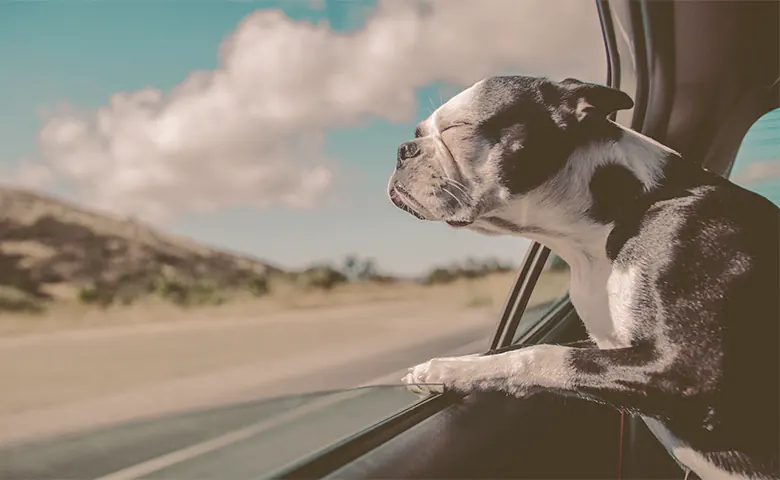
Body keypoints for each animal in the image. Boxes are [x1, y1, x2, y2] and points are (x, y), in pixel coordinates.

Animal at [386, 76, 776, 480]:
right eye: (418, 133)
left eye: (457, 128)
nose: (402, 149)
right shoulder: (605, 345)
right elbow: (513, 349)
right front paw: (446, 369)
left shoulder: (684, 370)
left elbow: (539, 355)